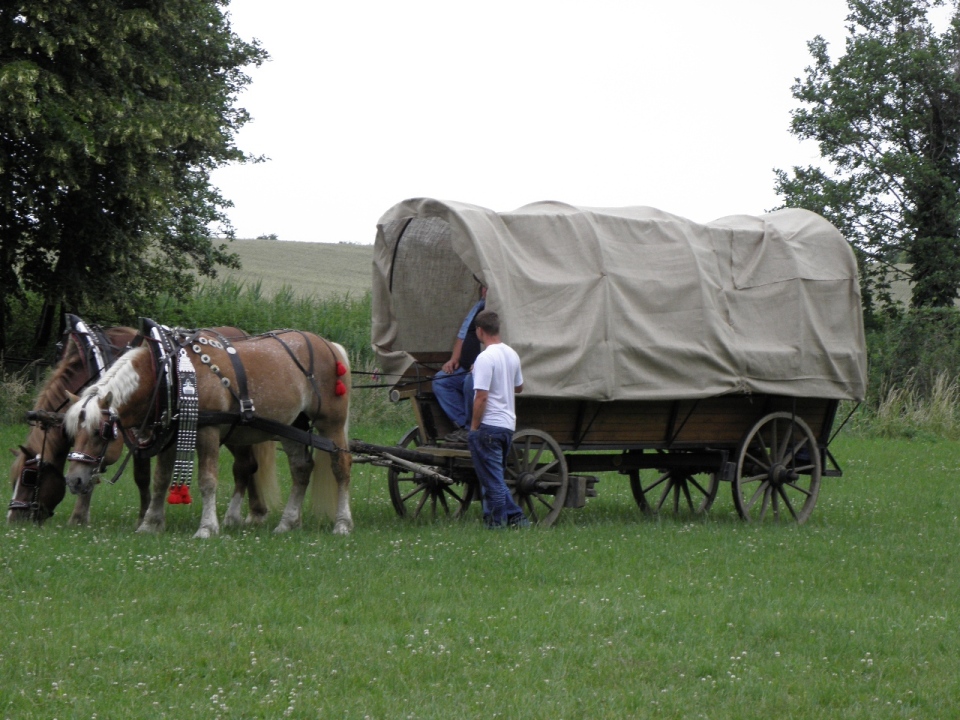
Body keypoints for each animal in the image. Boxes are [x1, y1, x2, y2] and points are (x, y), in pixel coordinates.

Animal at [9, 320, 280, 528]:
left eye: (29, 477)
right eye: (11, 480)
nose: (14, 518)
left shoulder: (131, 431)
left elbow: (138, 476)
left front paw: (135, 516)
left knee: (246, 466)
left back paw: (249, 515)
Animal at [62, 326, 352, 540]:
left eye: (101, 432)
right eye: (73, 431)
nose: (74, 480)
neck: (168, 375)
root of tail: (329, 345)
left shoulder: (208, 432)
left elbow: (207, 480)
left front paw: (207, 528)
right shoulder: (171, 438)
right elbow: (160, 480)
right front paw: (151, 523)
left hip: (331, 423)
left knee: (341, 466)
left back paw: (342, 523)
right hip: (294, 427)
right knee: (301, 469)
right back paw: (288, 523)